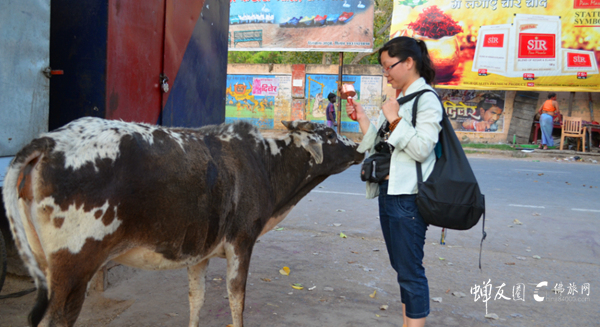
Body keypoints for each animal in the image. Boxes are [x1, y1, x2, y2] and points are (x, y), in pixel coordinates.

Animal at [3, 118, 360, 327]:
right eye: (330, 133)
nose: (358, 147)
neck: (264, 160)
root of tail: (48, 142)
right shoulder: (241, 242)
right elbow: (237, 301)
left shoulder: (199, 251)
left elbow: (196, 299)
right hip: (75, 265)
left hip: (46, 263)